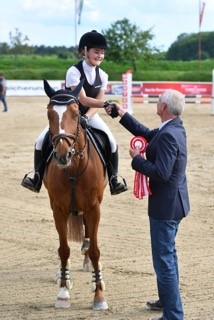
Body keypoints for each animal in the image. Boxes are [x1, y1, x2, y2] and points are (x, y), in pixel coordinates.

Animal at [42, 79, 108, 310]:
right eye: (49, 113)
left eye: (76, 112)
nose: (63, 155)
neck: (73, 169)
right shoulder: (58, 210)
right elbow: (63, 250)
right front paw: (62, 292)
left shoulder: (94, 208)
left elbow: (96, 250)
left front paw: (99, 295)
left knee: (88, 237)